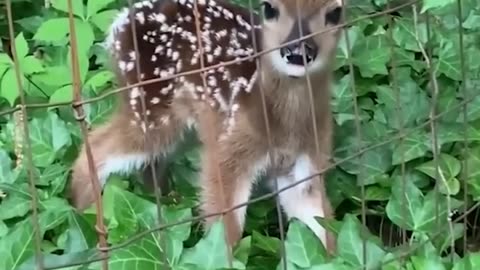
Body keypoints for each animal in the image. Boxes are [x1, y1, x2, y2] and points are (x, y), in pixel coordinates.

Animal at [69, 0, 344, 252]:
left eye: (335, 11)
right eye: (269, 8)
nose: (297, 50)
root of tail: (121, 21)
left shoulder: (305, 167)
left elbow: (323, 226)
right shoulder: (228, 153)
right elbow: (226, 230)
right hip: (152, 111)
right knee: (96, 146)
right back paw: (86, 219)